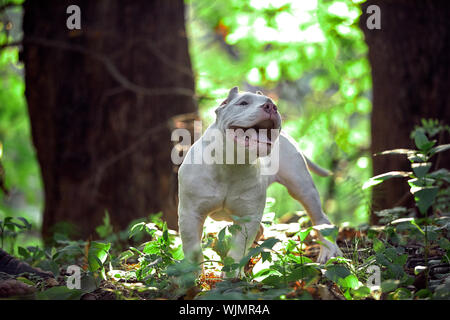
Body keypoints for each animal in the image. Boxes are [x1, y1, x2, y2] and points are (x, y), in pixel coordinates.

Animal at [177, 86, 342, 276]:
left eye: (273, 104)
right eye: (243, 103)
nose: (271, 106)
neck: (231, 164)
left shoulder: (248, 217)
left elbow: (238, 248)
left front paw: (232, 275)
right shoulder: (191, 214)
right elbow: (193, 249)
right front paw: (194, 277)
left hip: (302, 187)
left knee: (320, 218)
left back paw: (329, 251)